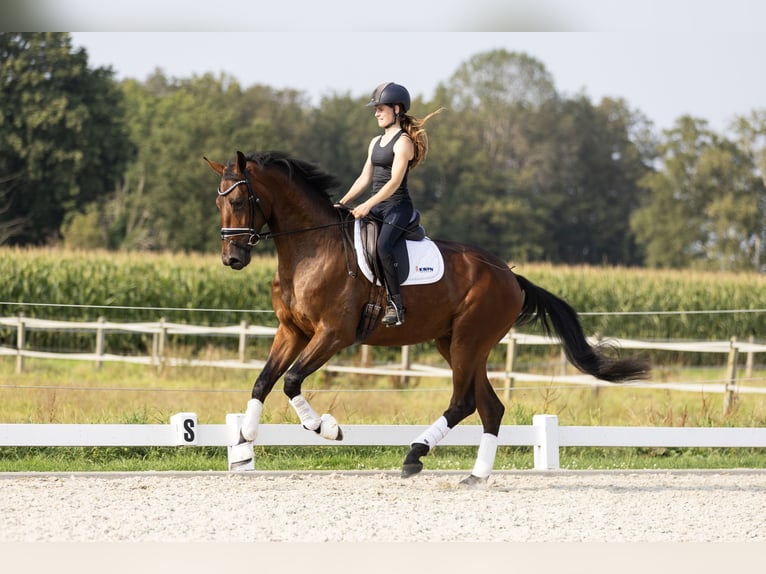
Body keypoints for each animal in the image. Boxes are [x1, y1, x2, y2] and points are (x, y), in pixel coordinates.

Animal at [207, 151, 652, 488]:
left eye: (240, 202)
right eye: (219, 204)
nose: (232, 259)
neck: (310, 248)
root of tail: (510, 275)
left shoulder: (332, 334)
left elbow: (291, 380)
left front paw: (326, 428)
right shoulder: (293, 331)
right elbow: (264, 380)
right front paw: (244, 443)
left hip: (469, 341)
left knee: (463, 402)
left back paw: (414, 455)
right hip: (455, 343)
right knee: (490, 407)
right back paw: (475, 477)